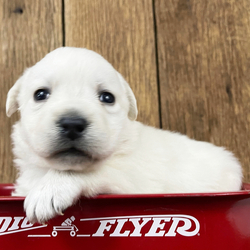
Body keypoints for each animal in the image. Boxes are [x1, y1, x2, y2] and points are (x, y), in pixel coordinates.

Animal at [6, 47, 242, 223]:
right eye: (40, 94)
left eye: (107, 97)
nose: (72, 124)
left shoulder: (130, 178)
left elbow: (90, 170)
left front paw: (48, 190)